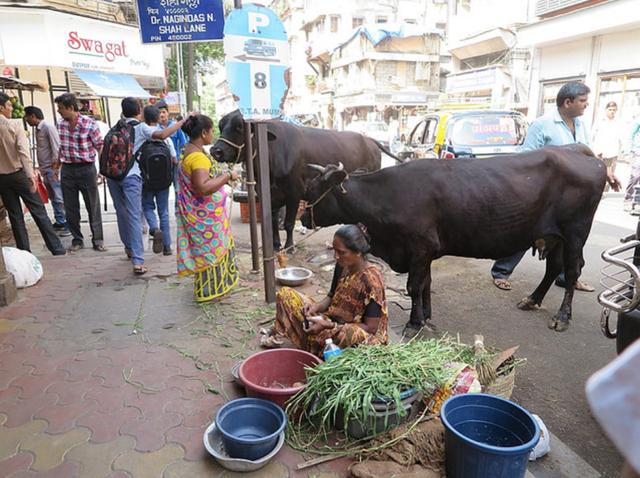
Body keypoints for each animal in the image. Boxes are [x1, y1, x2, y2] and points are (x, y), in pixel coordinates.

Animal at [212, 111, 388, 250]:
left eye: (239, 127)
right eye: (220, 126)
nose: (216, 150)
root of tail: (369, 140)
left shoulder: (294, 193)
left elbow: (289, 223)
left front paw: (289, 246)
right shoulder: (269, 195)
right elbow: (273, 222)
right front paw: (276, 245)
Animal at [302, 144, 608, 334]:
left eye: (315, 189)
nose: (303, 218)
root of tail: (581, 152)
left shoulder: (420, 247)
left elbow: (414, 286)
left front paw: (414, 323)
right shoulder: (423, 252)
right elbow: (426, 284)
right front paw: (426, 316)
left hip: (576, 232)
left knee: (571, 271)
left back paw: (562, 317)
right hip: (553, 235)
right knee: (554, 267)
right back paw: (532, 300)